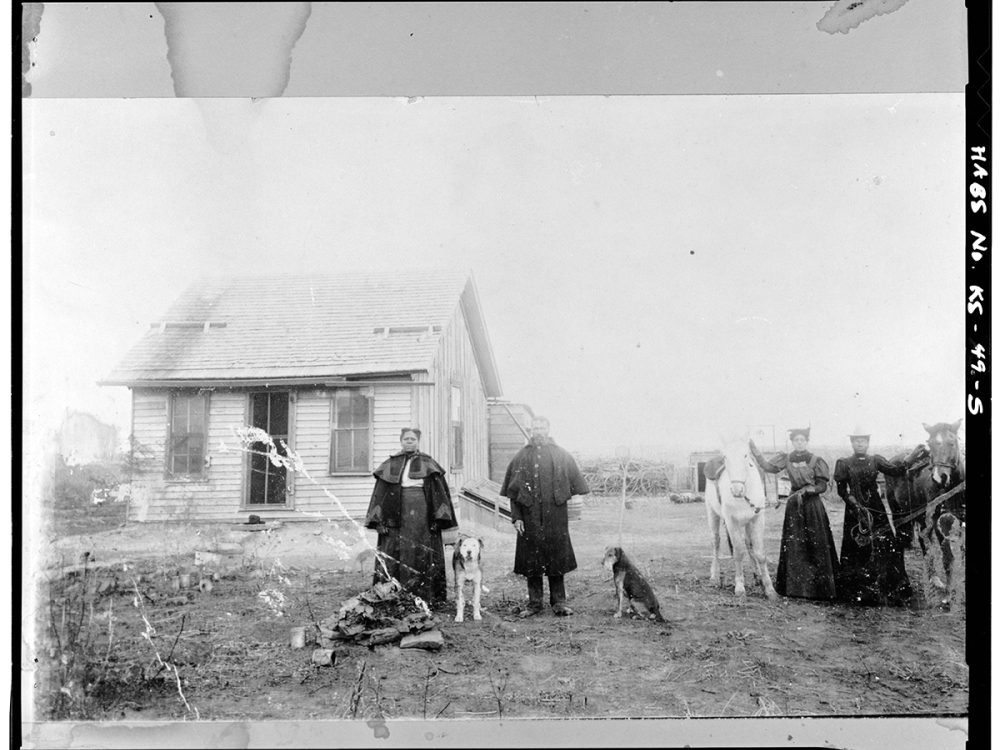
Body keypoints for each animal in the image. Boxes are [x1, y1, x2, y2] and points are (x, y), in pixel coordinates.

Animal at [708, 438, 776, 604]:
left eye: (746, 455)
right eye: (725, 457)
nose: (737, 490)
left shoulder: (757, 519)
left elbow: (760, 554)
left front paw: (769, 589)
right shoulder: (732, 523)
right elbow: (738, 553)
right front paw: (739, 587)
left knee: (748, 543)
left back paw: (757, 575)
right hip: (712, 513)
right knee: (716, 542)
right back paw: (714, 576)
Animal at [888, 424, 964, 604]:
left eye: (952, 443)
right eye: (930, 444)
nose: (938, 477)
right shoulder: (940, 523)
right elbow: (947, 558)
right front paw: (948, 595)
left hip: (921, 517)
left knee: (924, 542)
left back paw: (934, 579)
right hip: (898, 513)